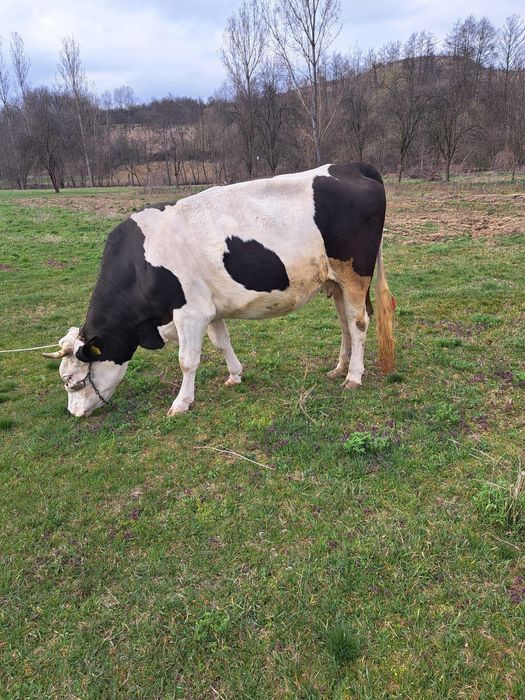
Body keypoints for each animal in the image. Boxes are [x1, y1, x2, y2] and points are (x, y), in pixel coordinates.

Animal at [44, 162, 395, 417]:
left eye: (72, 382)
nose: (74, 413)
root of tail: (350, 166)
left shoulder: (188, 313)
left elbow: (188, 360)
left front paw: (181, 403)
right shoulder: (209, 309)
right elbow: (222, 343)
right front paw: (235, 375)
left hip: (355, 274)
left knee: (359, 322)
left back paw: (354, 376)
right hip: (335, 281)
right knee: (345, 323)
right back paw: (339, 369)